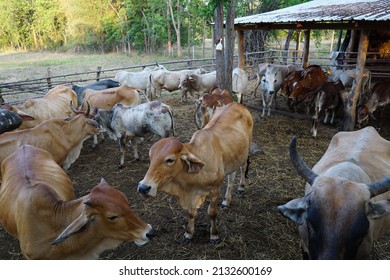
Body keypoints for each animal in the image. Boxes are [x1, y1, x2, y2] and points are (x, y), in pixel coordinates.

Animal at [137, 102, 253, 243]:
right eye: (150, 158)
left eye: (170, 160)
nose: (143, 187)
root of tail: (237, 103)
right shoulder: (192, 193)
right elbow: (191, 214)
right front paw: (189, 233)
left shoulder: (214, 191)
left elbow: (212, 213)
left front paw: (214, 235)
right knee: (231, 177)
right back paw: (226, 200)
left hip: (246, 151)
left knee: (243, 167)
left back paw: (241, 187)